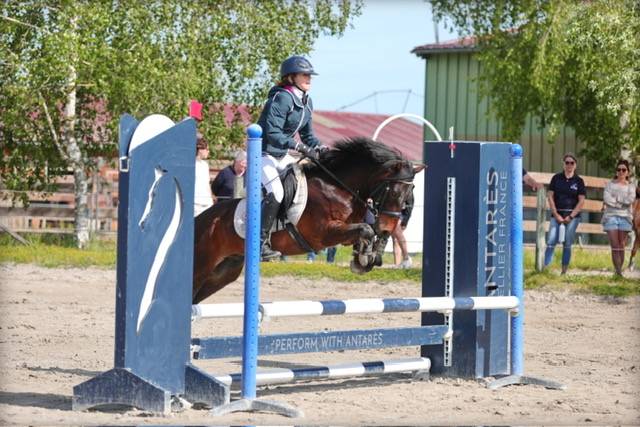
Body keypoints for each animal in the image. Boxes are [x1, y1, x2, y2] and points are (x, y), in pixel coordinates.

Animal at [192, 137, 422, 304]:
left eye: (409, 194)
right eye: (392, 191)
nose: (388, 229)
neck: (337, 187)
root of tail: (199, 221)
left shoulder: (347, 232)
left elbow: (365, 231)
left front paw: (365, 259)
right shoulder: (324, 233)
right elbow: (366, 229)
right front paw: (365, 258)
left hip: (223, 272)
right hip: (202, 267)